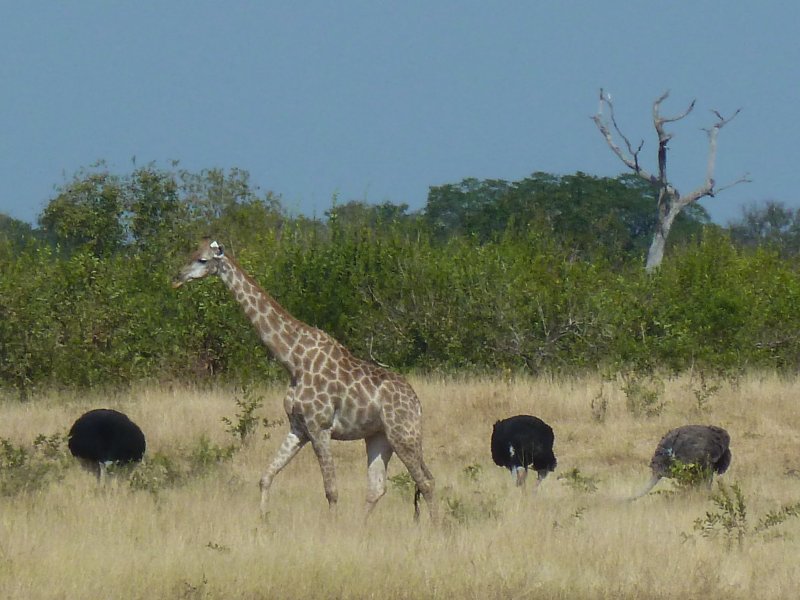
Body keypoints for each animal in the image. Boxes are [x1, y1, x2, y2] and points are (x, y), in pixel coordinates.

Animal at [173, 237, 438, 524]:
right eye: (191, 252)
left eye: (203, 260)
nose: (177, 278)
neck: (294, 360)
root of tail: (417, 403)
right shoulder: (298, 427)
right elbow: (266, 476)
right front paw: (263, 521)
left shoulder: (319, 427)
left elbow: (331, 490)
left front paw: (331, 528)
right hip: (379, 436)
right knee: (378, 487)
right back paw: (361, 527)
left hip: (403, 434)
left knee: (425, 481)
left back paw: (436, 527)